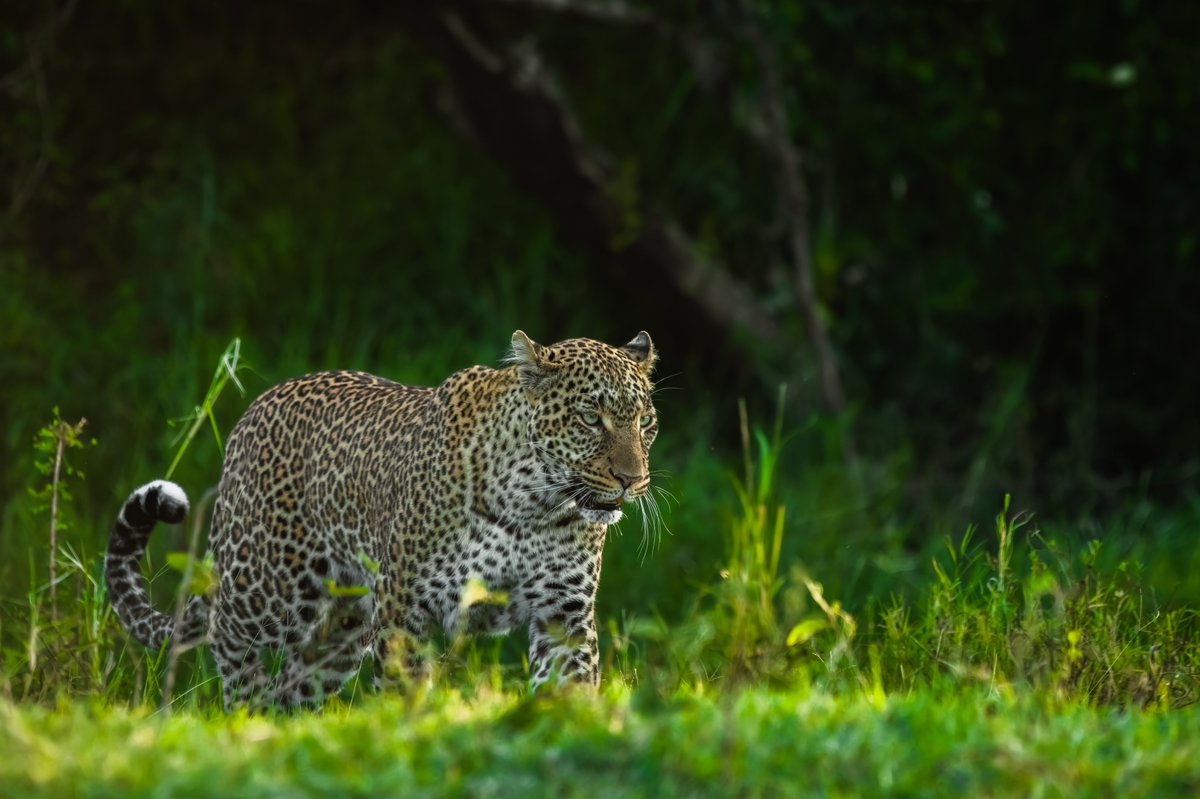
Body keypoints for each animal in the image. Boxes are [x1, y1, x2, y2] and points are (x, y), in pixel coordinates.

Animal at [104, 331, 660, 709]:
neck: (533, 504)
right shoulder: (404, 610)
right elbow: (404, 695)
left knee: (296, 686)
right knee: (225, 632)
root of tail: (251, 410)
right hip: (268, 586)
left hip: (342, 626)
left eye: (645, 422)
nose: (633, 479)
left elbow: (569, 693)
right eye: (590, 419)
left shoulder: (563, 614)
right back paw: (244, 714)